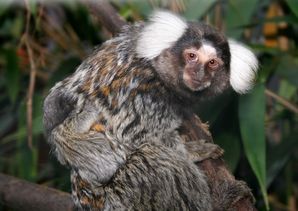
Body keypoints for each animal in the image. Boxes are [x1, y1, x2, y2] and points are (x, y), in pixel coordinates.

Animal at [43, 10, 258, 210]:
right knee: (155, 158)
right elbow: (136, 137)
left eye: (212, 63)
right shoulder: (143, 95)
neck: (155, 69)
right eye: (191, 56)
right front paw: (192, 151)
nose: (198, 73)